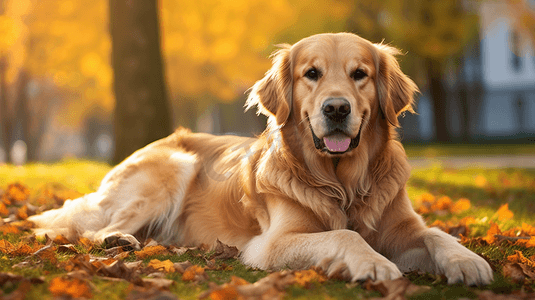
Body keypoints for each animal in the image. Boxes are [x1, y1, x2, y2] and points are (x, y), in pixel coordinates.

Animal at [28, 32, 494, 286]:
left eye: (360, 74)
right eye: (312, 74)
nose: (336, 109)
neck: (342, 182)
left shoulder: (402, 227)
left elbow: (437, 234)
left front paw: (468, 261)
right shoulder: (272, 243)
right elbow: (346, 235)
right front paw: (374, 263)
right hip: (174, 165)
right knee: (95, 229)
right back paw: (120, 240)